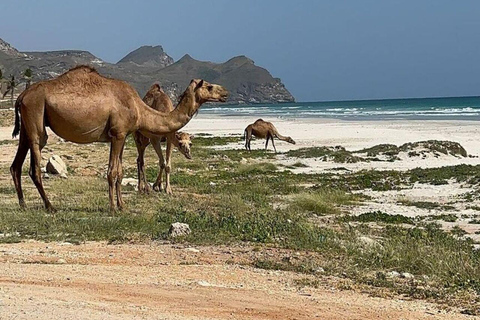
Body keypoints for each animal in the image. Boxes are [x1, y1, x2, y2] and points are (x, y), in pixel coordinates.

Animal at [10, 65, 229, 211]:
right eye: (209, 87)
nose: (225, 93)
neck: (139, 108)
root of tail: (21, 96)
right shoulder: (118, 134)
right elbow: (112, 172)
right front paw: (113, 208)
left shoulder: (122, 135)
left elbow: (120, 172)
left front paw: (122, 205)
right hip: (36, 116)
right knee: (35, 165)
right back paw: (50, 206)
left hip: (27, 127)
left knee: (16, 165)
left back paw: (23, 205)